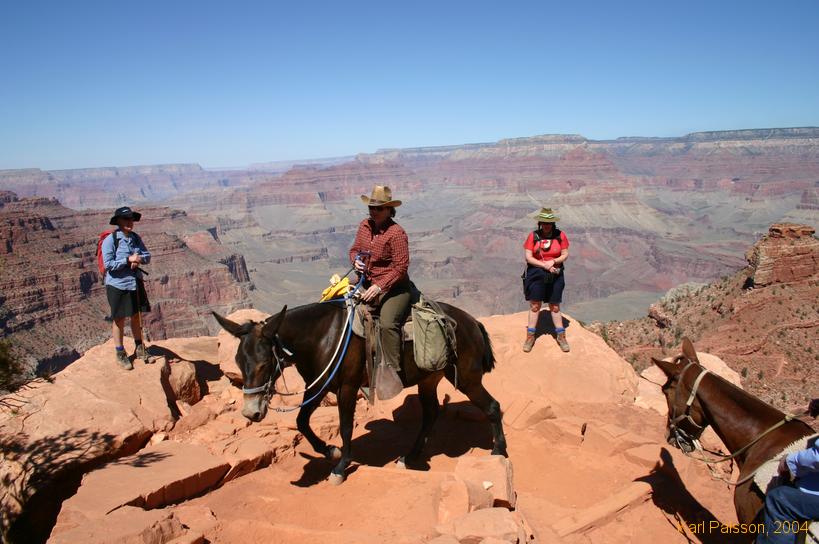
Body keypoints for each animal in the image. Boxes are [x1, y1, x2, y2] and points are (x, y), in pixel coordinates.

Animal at [213, 300, 507, 484]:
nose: (250, 413)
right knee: (431, 413)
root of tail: (472, 322)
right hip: (429, 379)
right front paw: (328, 450)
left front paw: (340, 466)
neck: (323, 336)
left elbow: (345, 427)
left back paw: (499, 452)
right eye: (238, 362)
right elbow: (301, 421)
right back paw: (409, 457)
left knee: (492, 407)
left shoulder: (347, 387)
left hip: (468, 378)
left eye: (264, 363)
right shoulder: (318, 386)